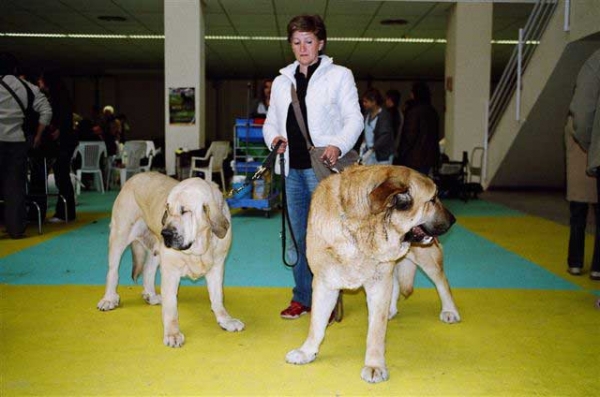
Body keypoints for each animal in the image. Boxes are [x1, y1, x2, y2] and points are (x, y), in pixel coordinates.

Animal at [97, 172, 243, 344]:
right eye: (167, 209)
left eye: (185, 211)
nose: (165, 233)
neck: (200, 247)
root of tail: (135, 176)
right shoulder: (171, 272)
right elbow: (171, 307)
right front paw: (172, 334)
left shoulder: (217, 267)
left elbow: (217, 297)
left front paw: (225, 320)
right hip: (120, 236)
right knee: (113, 272)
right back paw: (109, 299)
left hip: (156, 248)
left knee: (148, 270)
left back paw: (151, 295)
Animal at [286, 164, 454, 380]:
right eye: (432, 200)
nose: (453, 220)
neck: (359, 230)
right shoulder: (325, 283)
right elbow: (316, 324)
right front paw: (307, 351)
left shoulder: (378, 284)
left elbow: (376, 331)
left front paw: (374, 365)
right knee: (396, 284)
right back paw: (391, 309)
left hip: (427, 258)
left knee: (442, 283)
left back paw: (450, 311)